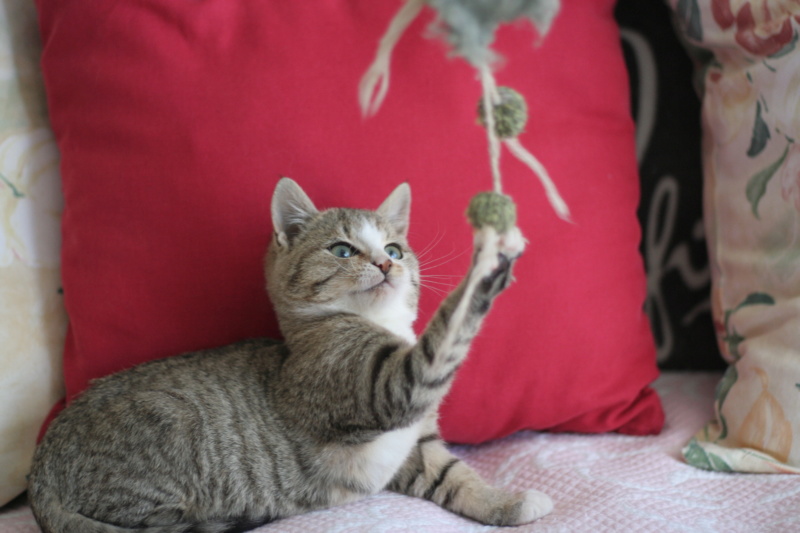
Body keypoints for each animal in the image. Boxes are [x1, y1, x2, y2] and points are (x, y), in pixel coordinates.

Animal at [26, 177, 552, 528]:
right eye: (342, 251)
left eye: (394, 250)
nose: (385, 265)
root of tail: (40, 468)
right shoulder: (386, 387)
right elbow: (448, 330)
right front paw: (489, 262)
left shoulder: (413, 444)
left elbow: (453, 476)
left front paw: (505, 504)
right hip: (163, 432)